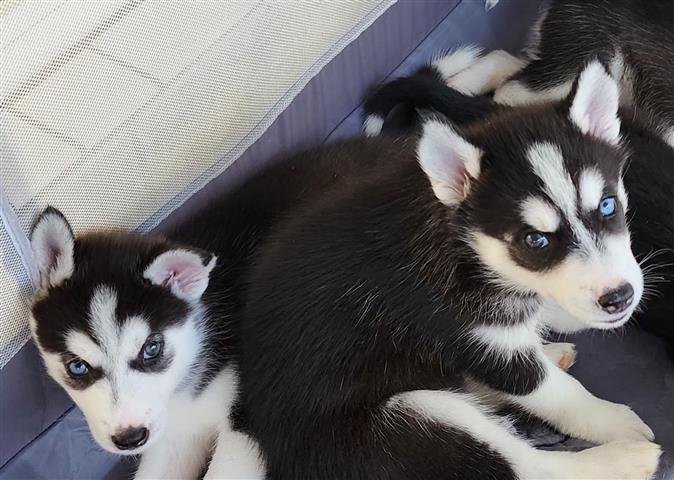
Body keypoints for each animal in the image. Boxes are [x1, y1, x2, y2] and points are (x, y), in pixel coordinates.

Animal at [239, 62, 660, 478]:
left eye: (607, 205)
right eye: (535, 241)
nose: (619, 297)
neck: (463, 249)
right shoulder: (474, 341)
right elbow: (558, 393)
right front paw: (613, 421)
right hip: (415, 420)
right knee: (526, 467)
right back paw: (625, 458)